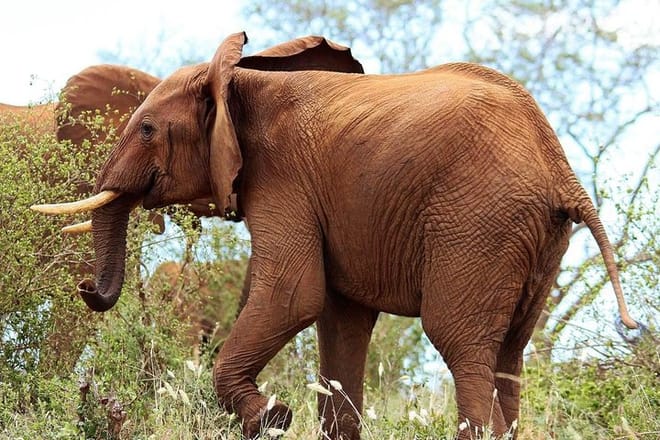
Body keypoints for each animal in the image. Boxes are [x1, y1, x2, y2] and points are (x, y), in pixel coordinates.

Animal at [32, 32, 640, 439]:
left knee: (461, 344)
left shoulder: (281, 179)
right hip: (536, 239)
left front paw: (273, 418)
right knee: (509, 356)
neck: (238, 79)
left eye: (147, 129)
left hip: (480, 222)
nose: (86, 288)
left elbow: (293, 296)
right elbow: (340, 320)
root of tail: (558, 166)